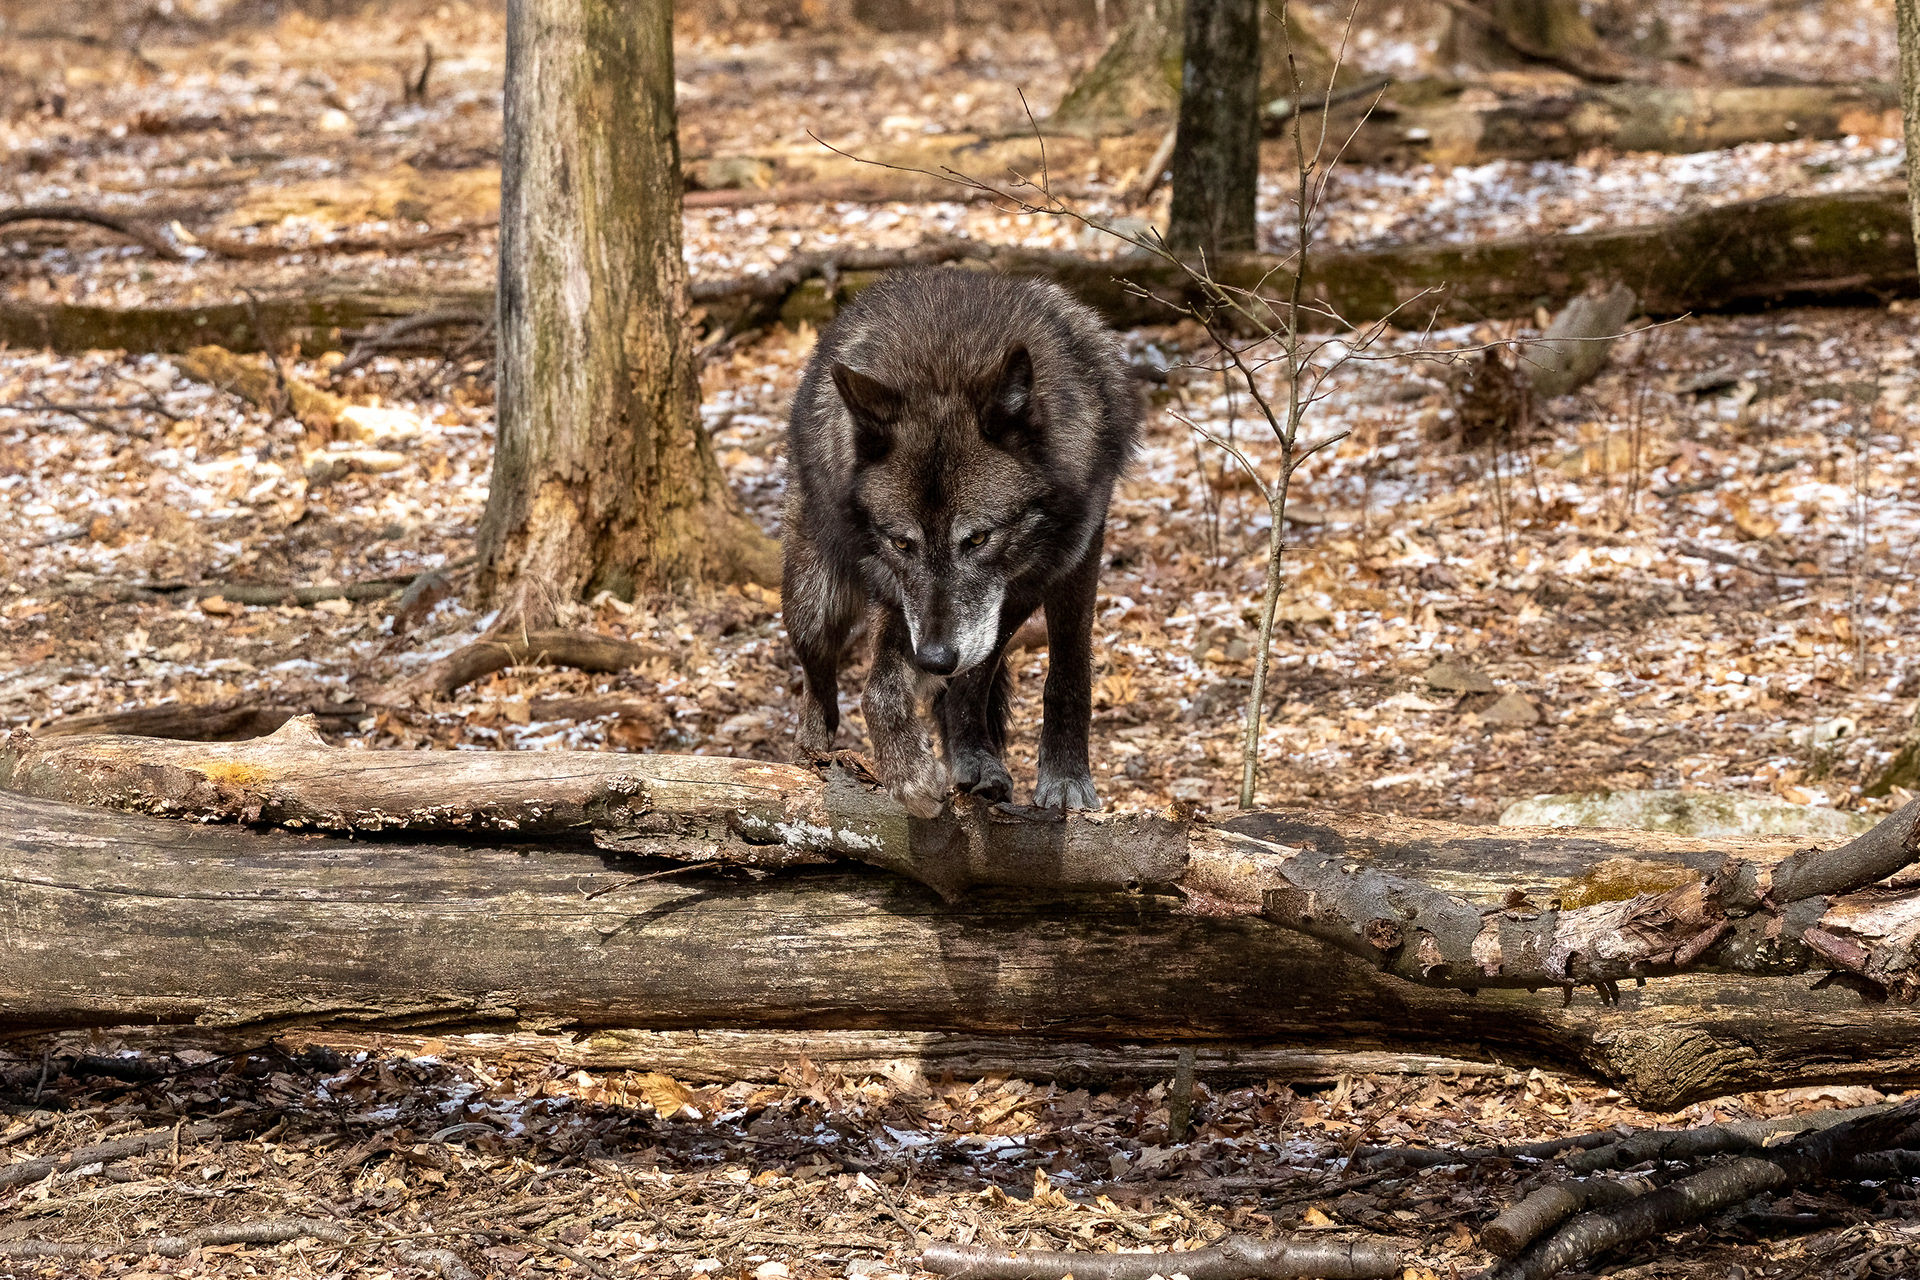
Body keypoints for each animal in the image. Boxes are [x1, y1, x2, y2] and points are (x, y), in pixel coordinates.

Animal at [781, 268, 1140, 819]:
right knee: (819, 680)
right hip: (816, 600)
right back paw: (812, 756)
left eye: (978, 538)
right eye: (901, 543)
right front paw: (909, 774)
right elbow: (879, 689)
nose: (932, 658)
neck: (946, 366)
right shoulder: (901, 597)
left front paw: (1062, 777)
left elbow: (1064, 672)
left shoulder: (1070, 560)